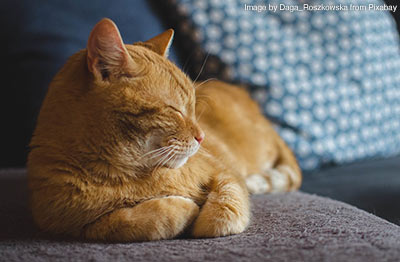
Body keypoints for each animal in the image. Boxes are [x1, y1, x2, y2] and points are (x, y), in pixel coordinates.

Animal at [28, 18, 302, 243]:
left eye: (194, 107)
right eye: (175, 110)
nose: (201, 137)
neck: (126, 174)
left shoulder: (224, 172)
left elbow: (227, 203)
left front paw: (205, 220)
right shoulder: (73, 224)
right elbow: (131, 221)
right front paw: (183, 209)